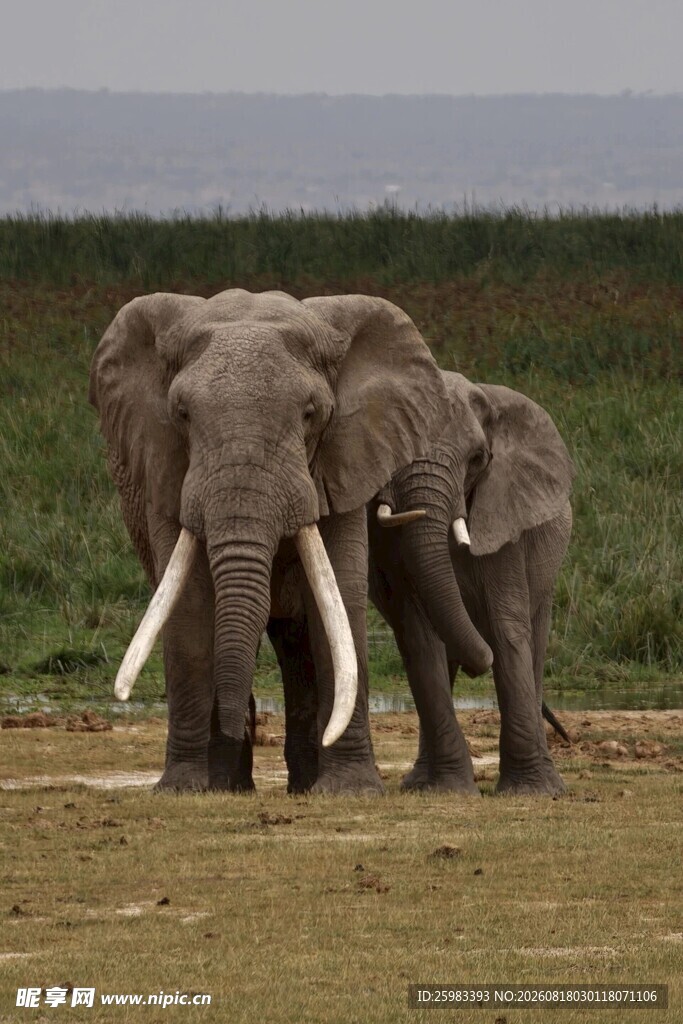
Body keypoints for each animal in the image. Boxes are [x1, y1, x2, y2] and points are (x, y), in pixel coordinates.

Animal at [89, 288, 462, 794]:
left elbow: (341, 598)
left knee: (299, 642)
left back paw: (298, 784)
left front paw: (349, 791)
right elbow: (189, 611)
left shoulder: (343, 460)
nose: (237, 729)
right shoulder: (164, 469)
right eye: (182, 415)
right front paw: (184, 788)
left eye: (310, 415)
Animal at [368, 371, 575, 796]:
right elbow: (419, 634)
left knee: (533, 640)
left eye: (477, 458)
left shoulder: (506, 512)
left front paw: (531, 793)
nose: (477, 662)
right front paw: (447, 790)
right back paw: (419, 783)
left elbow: (506, 628)